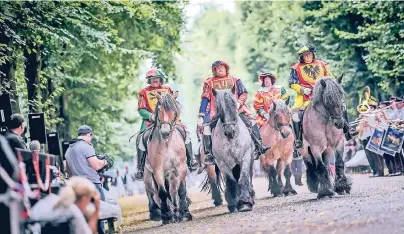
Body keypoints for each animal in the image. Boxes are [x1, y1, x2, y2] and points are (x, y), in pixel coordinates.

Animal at [142, 92, 193, 224]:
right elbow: (162, 192)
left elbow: (180, 190)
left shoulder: (180, 169)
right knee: (156, 192)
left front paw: (185, 214)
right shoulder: (157, 171)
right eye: (159, 109)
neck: (167, 144)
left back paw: (178, 212)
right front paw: (167, 216)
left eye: (173, 109)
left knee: (174, 191)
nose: (165, 132)